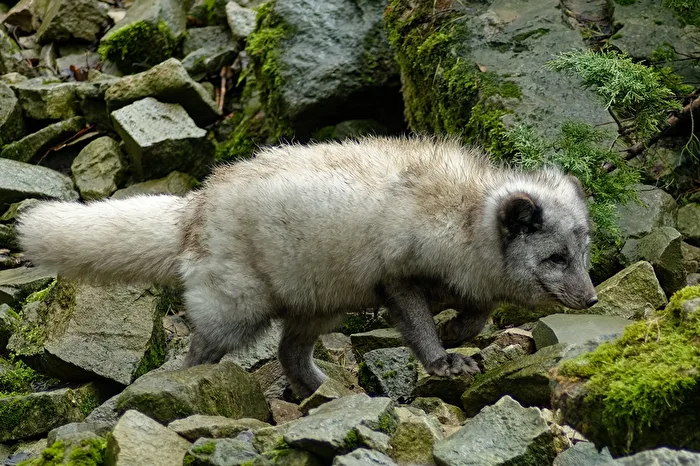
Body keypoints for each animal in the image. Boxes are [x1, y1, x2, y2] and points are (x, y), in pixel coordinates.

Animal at [17, 136, 598, 397]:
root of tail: (196, 206)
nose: (592, 299)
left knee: (289, 355)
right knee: (199, 354)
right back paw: (192, 387)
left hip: (318, 306)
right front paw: (442, 359)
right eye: (556, 258)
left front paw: (458, 332)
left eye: (584, 252)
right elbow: (419, 325)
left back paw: (328, 391)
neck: (462, 215)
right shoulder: (396, 279)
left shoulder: (467, 284)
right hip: (237, 312)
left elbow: (477, 314)